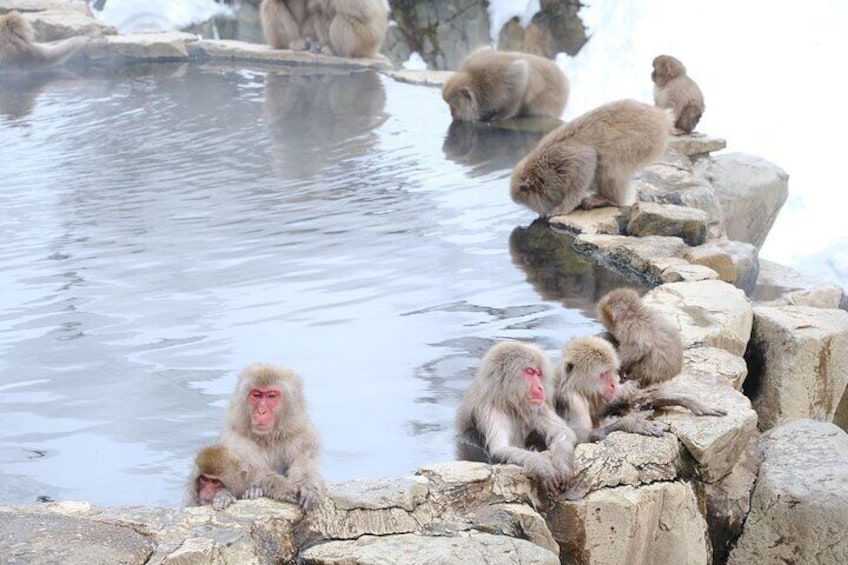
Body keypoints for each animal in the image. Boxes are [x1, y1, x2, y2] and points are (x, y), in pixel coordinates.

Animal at [219, 363, 325, 510]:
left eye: (271, 396)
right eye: (257, 395)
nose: (261, 411)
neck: (269, 438)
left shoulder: (303, 435)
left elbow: (304, 460)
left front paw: (307, 486)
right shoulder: (235, 442)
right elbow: (250, 473)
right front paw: (285, 488)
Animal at [455, 341, 577, 494]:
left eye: (538, 373)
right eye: (530, 372)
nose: (540, 387)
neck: (509, 403)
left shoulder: (536, 406)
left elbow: (564, 433)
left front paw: (562, 466)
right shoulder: (491, 411)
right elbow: (501, 449)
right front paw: (542, 467)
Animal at [509, 99, 672, 218]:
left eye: (526, 202)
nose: (538, 213)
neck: (544, 168)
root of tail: (661, 116)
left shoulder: (563, 158)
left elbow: (587, 159)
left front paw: (565, 207)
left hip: (643, 140)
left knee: (609, 166)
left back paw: (610, 199)